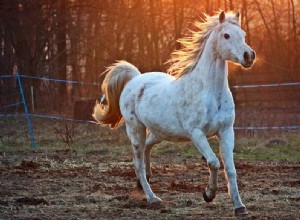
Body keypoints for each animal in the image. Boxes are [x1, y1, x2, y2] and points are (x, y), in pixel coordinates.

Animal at [94, 11, 255, 216]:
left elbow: (231, 169)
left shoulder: (226, 131)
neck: (210, 92)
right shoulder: (197, 133)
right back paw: (153, 198)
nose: (249, 56)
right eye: (226, 35)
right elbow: (214, 162)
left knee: (147, 148)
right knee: (138, 162)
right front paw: (208, 194)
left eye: (243, 34)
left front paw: (239, 207)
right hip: (136, 129)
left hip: (159, 132)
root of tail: (135, 79)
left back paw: (144, 181)